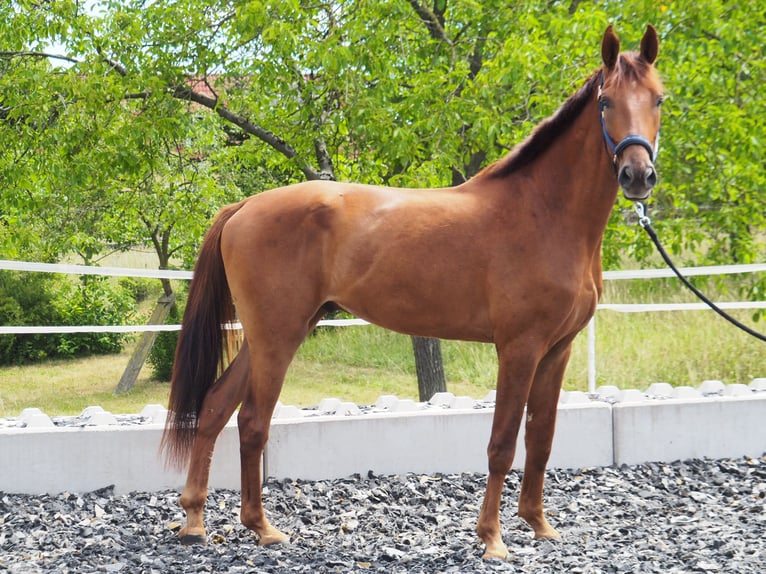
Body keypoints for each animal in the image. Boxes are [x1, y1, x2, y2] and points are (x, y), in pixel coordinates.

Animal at [161, 24, 664, 560]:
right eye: (606, 101)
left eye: (658, 99)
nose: (637, 175)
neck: (543, 213)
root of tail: (244, 206)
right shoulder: (519, 349)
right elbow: (502, 443)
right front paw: (492, 538)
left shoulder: (557, 351)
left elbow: (541, 439)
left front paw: (539, 524)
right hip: (278, 335)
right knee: (253, 421)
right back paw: (262, 527)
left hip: (268, 336)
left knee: (215, 407)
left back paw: (196, 521)